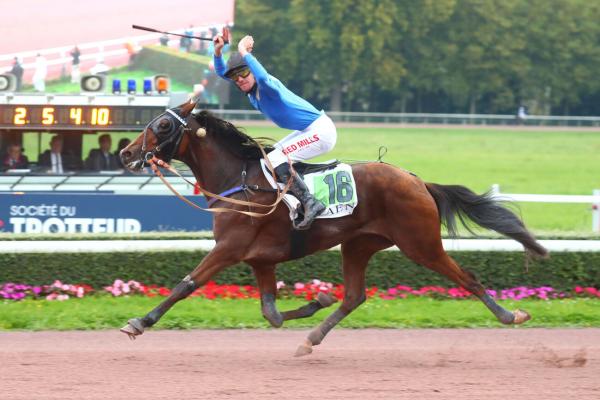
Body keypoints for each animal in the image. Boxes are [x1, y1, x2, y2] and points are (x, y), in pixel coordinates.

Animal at [118, 101, 548, 356]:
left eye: (162, 125)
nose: (126, 152)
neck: (239, 182)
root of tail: (418, 181)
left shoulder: (230, 249)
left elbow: (186, 285)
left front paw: (138, 322)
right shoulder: (261, 260)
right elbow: (271, 313)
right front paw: (316, 301)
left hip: (420, 243)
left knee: (467, 278)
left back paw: (510, 315)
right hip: (358, 244)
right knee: (354, 296)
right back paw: (311, 338)